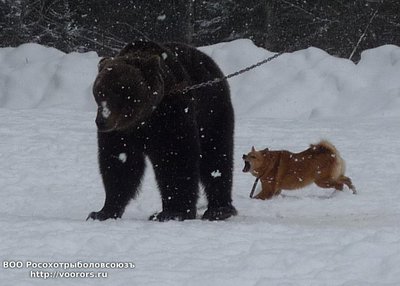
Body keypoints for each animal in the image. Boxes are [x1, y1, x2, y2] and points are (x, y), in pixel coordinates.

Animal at [86, 40, 238, 222]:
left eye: (119, 91)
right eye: (99, 91)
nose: (101, 121)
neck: (144, 117)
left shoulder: (171, 115)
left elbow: (174, 158)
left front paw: (173, 212)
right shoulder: (121, 132)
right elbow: (119, 162)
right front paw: (103, 212)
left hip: (212, 113)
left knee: (216, 157)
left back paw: (219, 210)